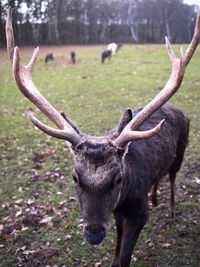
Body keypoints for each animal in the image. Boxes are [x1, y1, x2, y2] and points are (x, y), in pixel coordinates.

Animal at [5, 7, 200, 267]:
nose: (94, 234)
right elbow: (117, 247)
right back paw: (155, 197)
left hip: (182, 150)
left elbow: (125, 256)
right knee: (159, 176)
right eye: (75, 177)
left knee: (172, 176)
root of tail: (179, 110)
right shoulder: (117, 212)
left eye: (118, 179)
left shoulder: (139, 214)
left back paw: (170, 208)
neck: (125, 198)